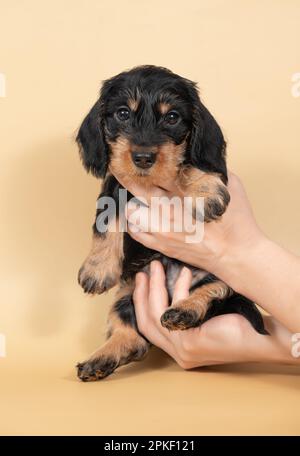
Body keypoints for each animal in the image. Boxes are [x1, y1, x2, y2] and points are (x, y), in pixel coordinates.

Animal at [75, 64, 268, 382]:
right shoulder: (113, 185)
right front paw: (97, 269)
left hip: (229, 275)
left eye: (172, 117)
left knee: (215, 290)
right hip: (128, 292)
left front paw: (206, 191)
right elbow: (106, 222)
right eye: (123, 113)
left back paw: (184, 311)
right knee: (132, 337)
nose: (142, 157)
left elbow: (189, 163)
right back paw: (101, 358)